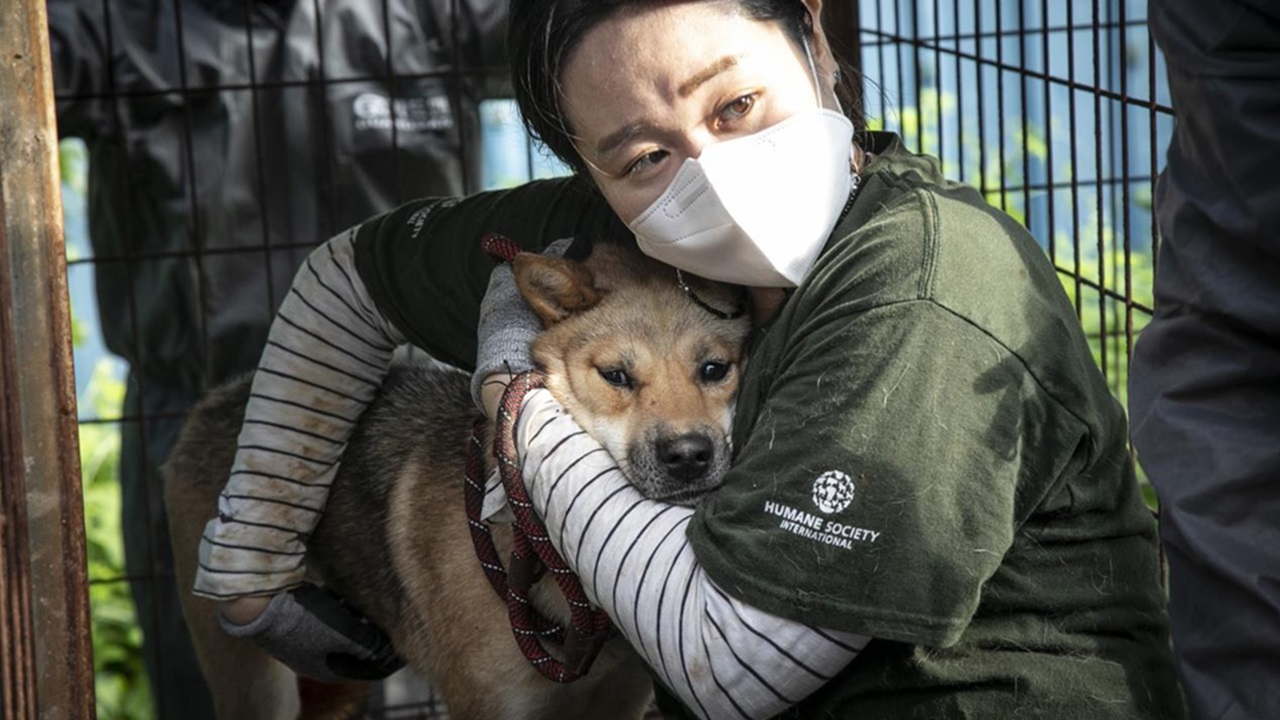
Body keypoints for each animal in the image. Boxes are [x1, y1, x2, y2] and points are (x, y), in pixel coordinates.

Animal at [165, 242, 752, 717]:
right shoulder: (489, 706)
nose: (688, 456)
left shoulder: (615, 702)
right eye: (615, 375)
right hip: (257, 685)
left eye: (715, 369)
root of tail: (224, 393)